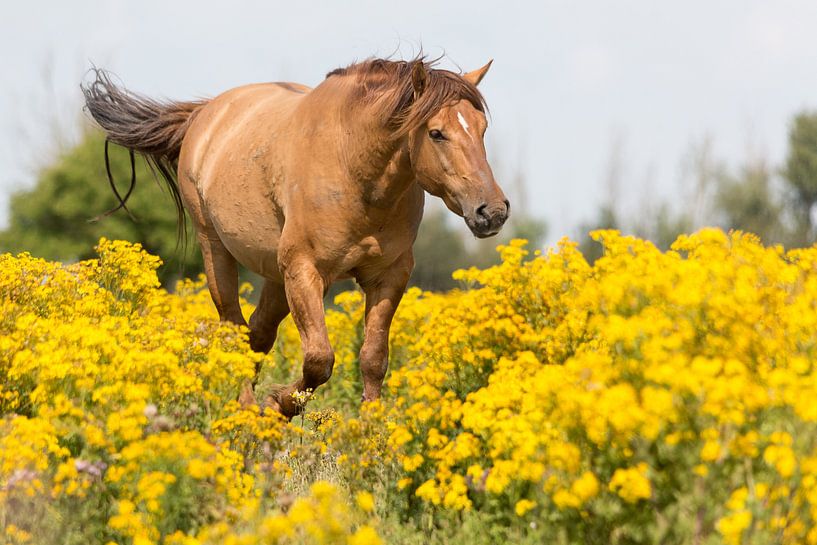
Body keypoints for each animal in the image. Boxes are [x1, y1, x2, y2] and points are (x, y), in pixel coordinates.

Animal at [82, 57, 510, 418]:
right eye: (436, 133)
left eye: (483, 129)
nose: (492, 211)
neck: (353, 166)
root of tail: (205, 114)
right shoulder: (306, 271)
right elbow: (319, 360)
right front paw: (278, 406)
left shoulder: (389, 276)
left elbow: (373, 358)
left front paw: (372, 433)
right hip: (217, 251)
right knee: (234, 329)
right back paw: (245, 413)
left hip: (275, 273)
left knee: (257, 333)